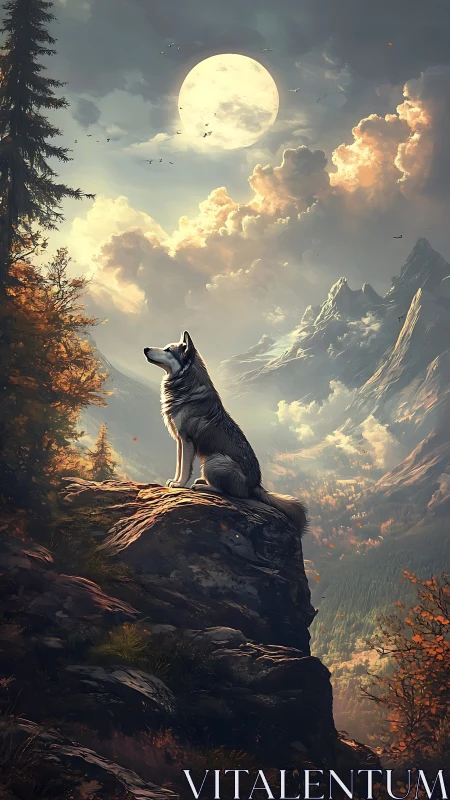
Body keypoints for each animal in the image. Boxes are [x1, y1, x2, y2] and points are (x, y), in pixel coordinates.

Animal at [143, 331, 307, 535]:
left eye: (167, 350)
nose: (145, 348)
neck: (185, 386)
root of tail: (255, 485)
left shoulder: (186, 440)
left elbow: (185, 468)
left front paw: (180, 484)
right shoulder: (180, 441)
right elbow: (179, 465)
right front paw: (175, 481)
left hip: (215, 460)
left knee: (227, 492)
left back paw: (202, 486)